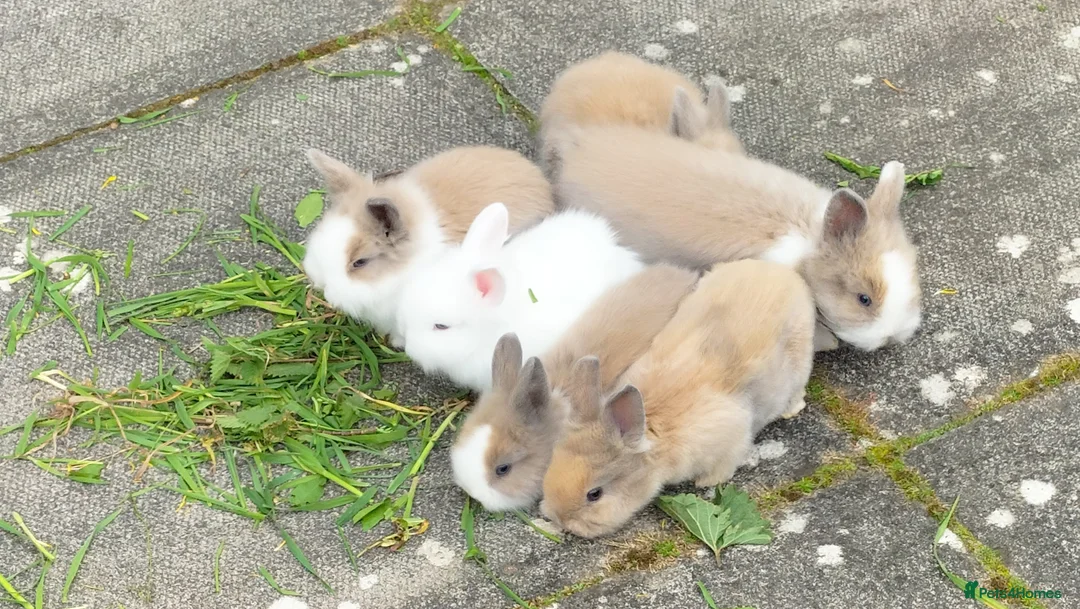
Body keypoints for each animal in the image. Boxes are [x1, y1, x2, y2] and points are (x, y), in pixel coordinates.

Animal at [539, 259, 816, 538]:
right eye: (552, 466)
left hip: (800, 359)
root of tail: (781, 272)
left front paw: (706, 482)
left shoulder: (731, 436)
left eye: (594, 494)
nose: (560, 519)